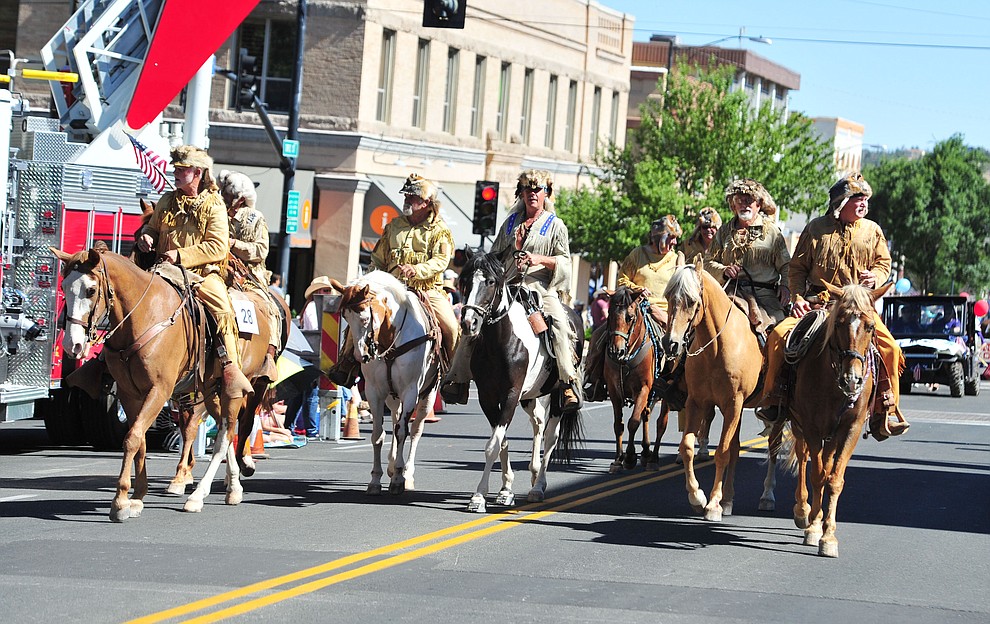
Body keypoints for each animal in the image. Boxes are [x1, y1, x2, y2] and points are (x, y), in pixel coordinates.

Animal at [52, 246, 286, 520]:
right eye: (64, 286)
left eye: (90, 290)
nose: (73, 345)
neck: (143, 316)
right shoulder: (129, 394)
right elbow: (140, 439)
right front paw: (137, 497)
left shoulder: (159, 391)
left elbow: (132, 438)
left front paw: (119, 502)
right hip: (211, 389)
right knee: (223, 430)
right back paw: (234, 488)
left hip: (239, 386)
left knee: (226, 435)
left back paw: (198, 496)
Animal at [330, 270, 442, 494]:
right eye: (345, 316)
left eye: (365, 317)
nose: (360, 355)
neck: (390, 340)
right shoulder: (375, 392)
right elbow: (378, 434)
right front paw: (376, 479)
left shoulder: (410, 392)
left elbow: (402, 431)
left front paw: (399, 478)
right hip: (392, 397)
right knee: (396, 418)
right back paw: (391, 466)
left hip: (428, 395)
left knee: (415, 430)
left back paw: (407, 474)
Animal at [604, 288, 676, 472]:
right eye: (609, 314)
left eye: (630, 317)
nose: (616, 351)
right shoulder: (614, 391)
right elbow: (618, 425)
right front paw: (618, 459)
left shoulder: (643, 389)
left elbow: (633, 422)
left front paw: (629, 457)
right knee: (646, 415)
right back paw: (645, 452)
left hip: (666, 391)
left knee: (661, 423)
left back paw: (653, 458)